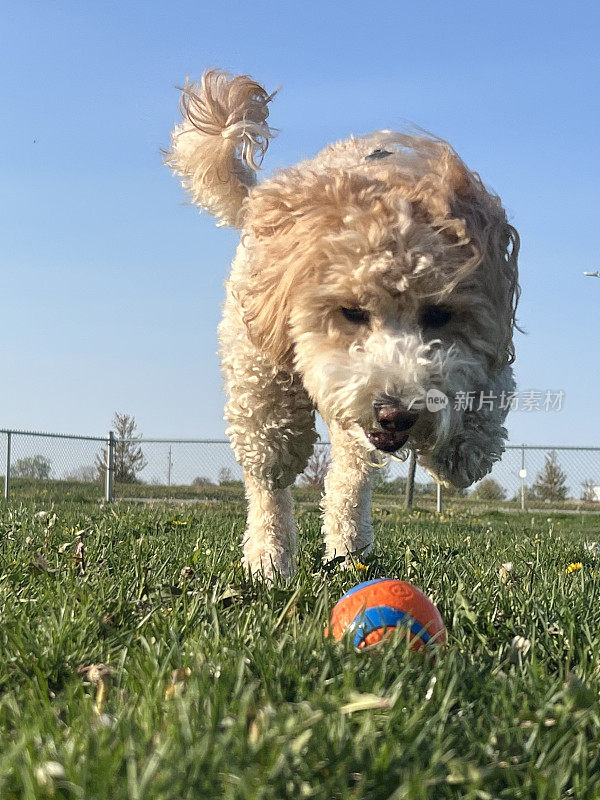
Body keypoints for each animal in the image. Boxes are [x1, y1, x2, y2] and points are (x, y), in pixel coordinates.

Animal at [166, 69, 516, 576]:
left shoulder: (495, 318)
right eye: (351, 312)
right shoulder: (261, 362)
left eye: (439, 314)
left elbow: (488, 393)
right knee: (273, 476)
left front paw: (463, 448)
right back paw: (271, 557)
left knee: (347, 480)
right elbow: (272, 460)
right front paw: (269, 552)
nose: (396, 411)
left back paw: (350, 551)